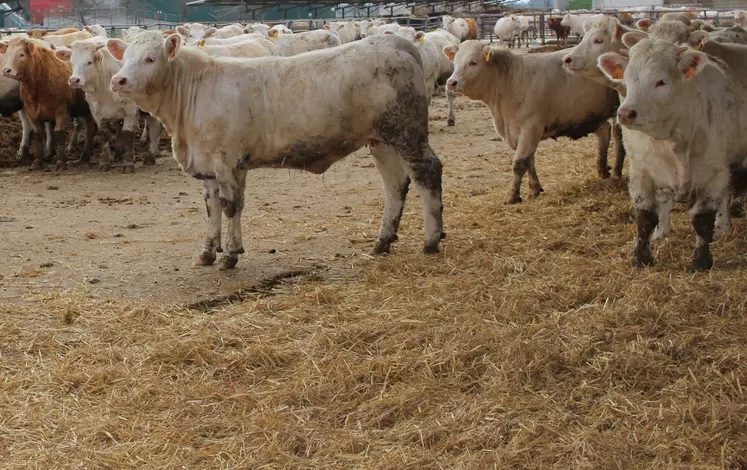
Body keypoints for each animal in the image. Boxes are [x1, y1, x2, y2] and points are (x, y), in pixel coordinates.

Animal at [105, 31, 444, 268]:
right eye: (124, 57)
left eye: (150, 58)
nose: (118, 79)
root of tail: (393, 42)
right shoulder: (209, 165)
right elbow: (213, 207)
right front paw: (208, 252)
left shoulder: (227, 160)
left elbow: (230, 206)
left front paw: (229, 256)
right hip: (381, 141)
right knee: (395, 186)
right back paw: (382, 242)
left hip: (406, 132)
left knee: (428, 172)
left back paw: (431, 241)